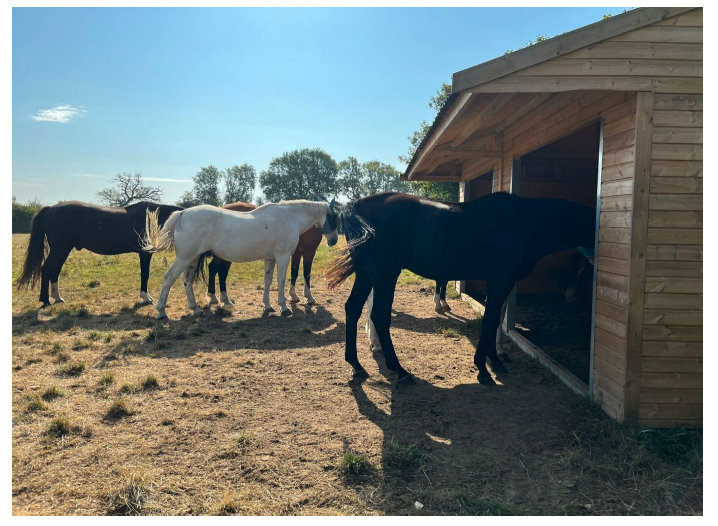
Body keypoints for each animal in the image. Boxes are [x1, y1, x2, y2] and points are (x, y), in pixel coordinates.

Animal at [16, 201, 183, 307]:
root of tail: (50, 208)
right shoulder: (144, 253)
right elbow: (145, 274)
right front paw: (146, 298)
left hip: (62, 251)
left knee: (54, 271)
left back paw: (57, 298)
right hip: (60, 249)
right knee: (47, 270)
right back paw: (46, 300)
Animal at [142, 200, 339, 320]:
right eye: (334, 217)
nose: (334, 240)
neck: (289, 218)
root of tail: (182, 214)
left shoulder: (270, 259)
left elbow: (268, 281)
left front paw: (267, 306)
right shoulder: (283, 257)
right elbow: (281, 281)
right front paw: (284, 307)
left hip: (193, 258)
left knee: (187, 280)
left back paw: (196, 309)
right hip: (184, 258)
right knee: (169, 278)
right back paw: (161, 312)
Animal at [325, 191, 595, 385]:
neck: (523, 222)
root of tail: (356, 205)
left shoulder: (503, 283)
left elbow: (496, 320)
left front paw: (495, 360)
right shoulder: (500, 280)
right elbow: (490, 320)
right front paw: (484, 368)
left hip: (366, 275)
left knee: (352, 309)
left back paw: (356, 366)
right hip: (384, 275)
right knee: (379, 316)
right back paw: (400, 371)